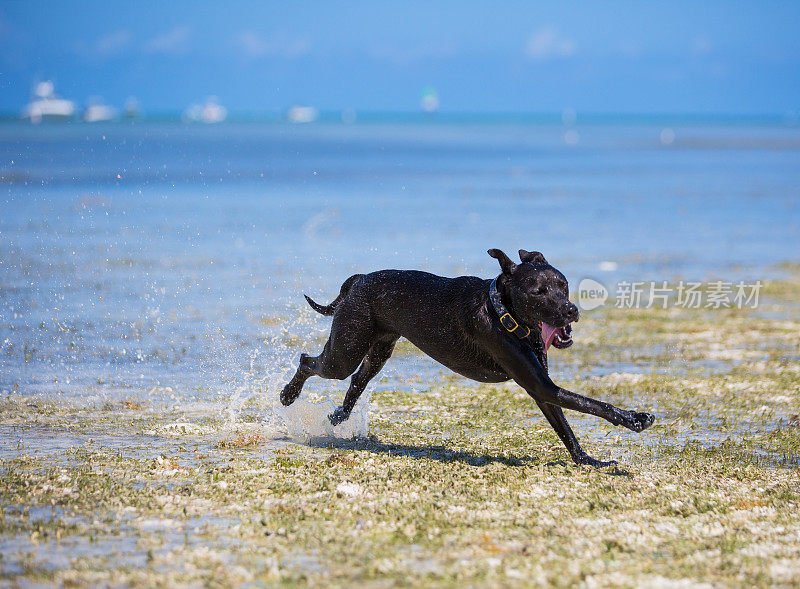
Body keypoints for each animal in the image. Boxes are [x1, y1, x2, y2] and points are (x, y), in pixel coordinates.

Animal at [278, 249, 652, 468]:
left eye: (563, 285)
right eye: (538, 292)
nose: (571, 310)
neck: (504, 313)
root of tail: (360, 279)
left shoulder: (541, 389)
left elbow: (564, 427)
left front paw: (586, 460)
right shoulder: (540, 385)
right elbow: (592, 404)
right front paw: (634, 418)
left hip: (378, 348)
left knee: (357, 380)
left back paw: (339, 416)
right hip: (345, 349)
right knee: (309, 361)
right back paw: (288, 395)